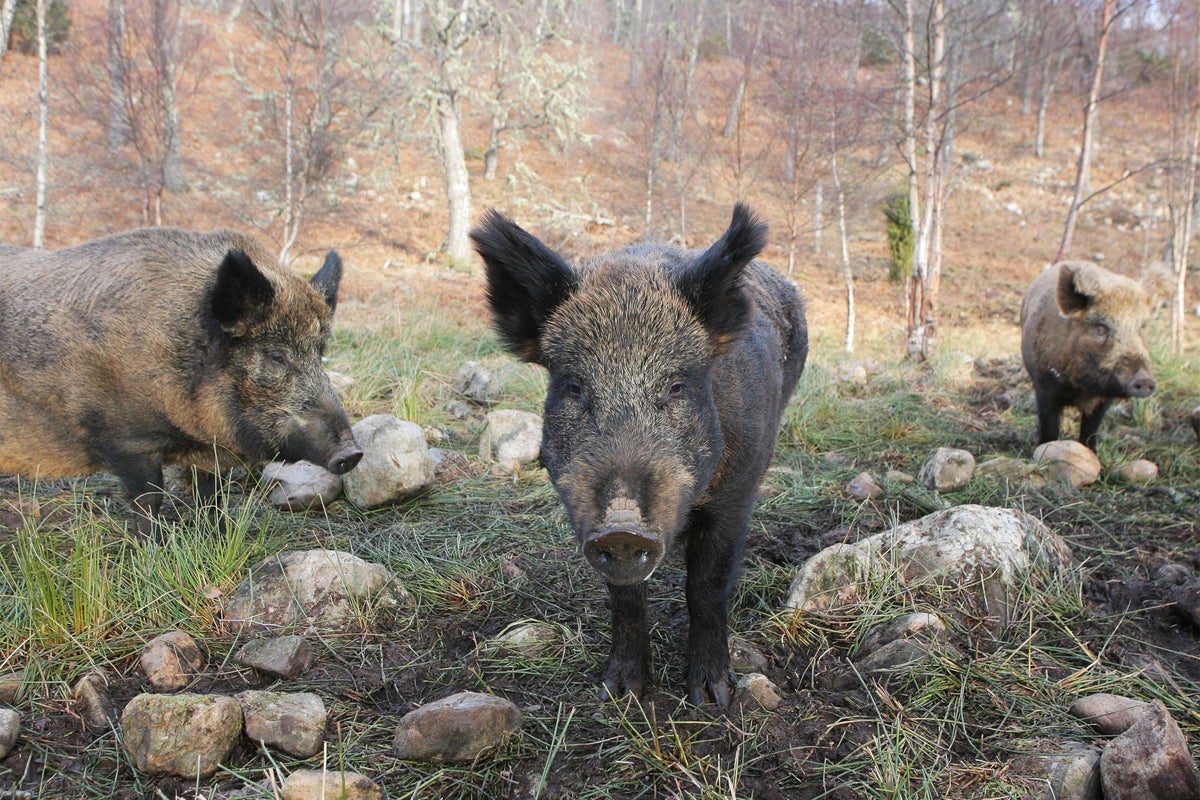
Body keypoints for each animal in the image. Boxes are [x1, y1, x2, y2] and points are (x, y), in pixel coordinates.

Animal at [0, 227, 362, 534]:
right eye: (276, 356)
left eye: (320, 351)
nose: (352, 453)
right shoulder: (127, 439)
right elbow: (148, 498)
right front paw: (151, 549)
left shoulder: (208, 453)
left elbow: (210, 495)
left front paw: (219, 534)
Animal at [472, 204, 807, 706]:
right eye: (574, 387)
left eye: (677, 386)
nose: (623, 529)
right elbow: (624, 597)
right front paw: (620, 693)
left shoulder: (737, 491)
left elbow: (707, 586)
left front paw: (712, 698)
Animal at [1020, 260, 1156, 451]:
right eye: (1101, 328)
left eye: (1141, 328)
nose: (1144, 379)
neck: (1082, 389)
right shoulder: (1044, 384)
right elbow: (1050, 426)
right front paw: (1042, 448)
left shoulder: (1104, 399)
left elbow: (1091, 429)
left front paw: (1091, 452)